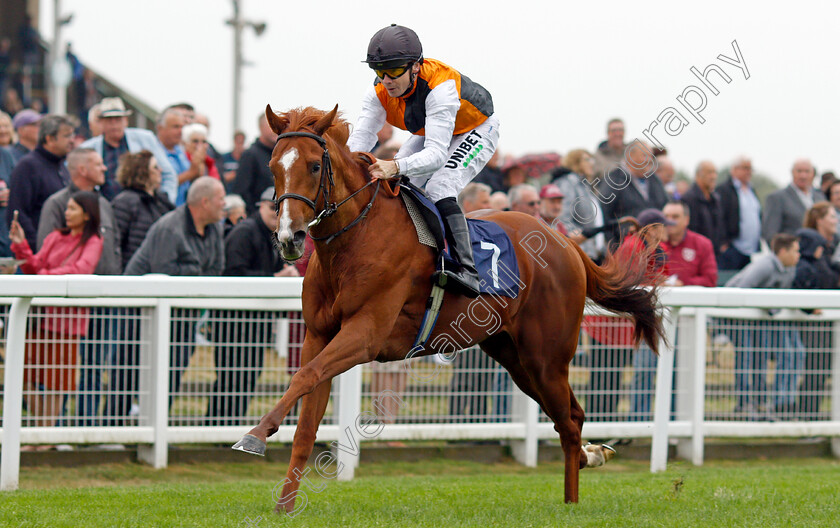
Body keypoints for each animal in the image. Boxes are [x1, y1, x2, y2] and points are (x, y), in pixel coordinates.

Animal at [233, 105, 668, 512]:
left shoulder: (365, 334)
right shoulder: (320, 335)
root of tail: (566, 242)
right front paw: (283, 506)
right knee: (569, 417)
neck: (355, 238)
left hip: (546, 356)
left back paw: (573, 499)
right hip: (514, 356)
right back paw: (590, 457)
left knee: (569, 419)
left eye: (312, 164)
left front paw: (255, 435)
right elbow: (306, 413)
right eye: (273, 166)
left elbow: (304, 376)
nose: (289, 237)